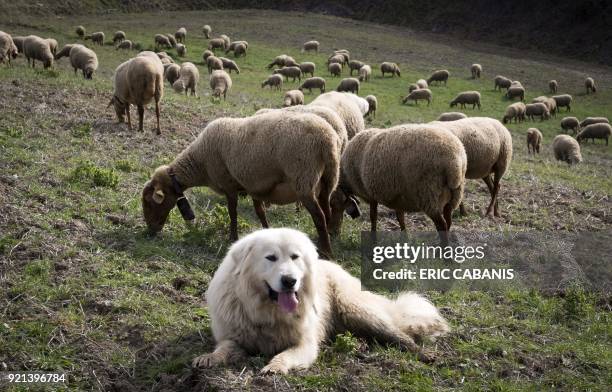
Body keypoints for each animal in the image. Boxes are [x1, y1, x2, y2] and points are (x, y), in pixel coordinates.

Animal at [143, 110, 344, 258]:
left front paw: (233, 238)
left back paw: (327, 253)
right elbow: (260, 212)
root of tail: (327, 139)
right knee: (327, 212)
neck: (200, 162)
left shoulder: (229, 184)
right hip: (328, 180)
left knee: (319, 216)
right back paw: (326, 242)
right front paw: (267, 233)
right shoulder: (254, 186)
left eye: (149, 202)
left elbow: (232, 212)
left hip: (304, 179)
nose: (150, 231)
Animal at [194, 227, 448, 374]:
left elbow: (285, 355)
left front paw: (275, 367)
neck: (267, 311)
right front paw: (208, 359)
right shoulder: (234, 338)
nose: (290, 281)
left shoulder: (305, 345)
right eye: (271, 258)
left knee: (399, 335)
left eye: (294, 257)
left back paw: (424, 354)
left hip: (356, 310)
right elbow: (223, 349)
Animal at [332, 124, 466, 243]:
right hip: (453, 195)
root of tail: (454, 163)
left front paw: (373, 239)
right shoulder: (398, 196)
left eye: (333, 205)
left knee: (442, 225)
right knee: (448, 220)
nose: (333, 233)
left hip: (429, 195)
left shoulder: (371, 194)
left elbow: (373, 217)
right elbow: (400, 217)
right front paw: (405, 237)